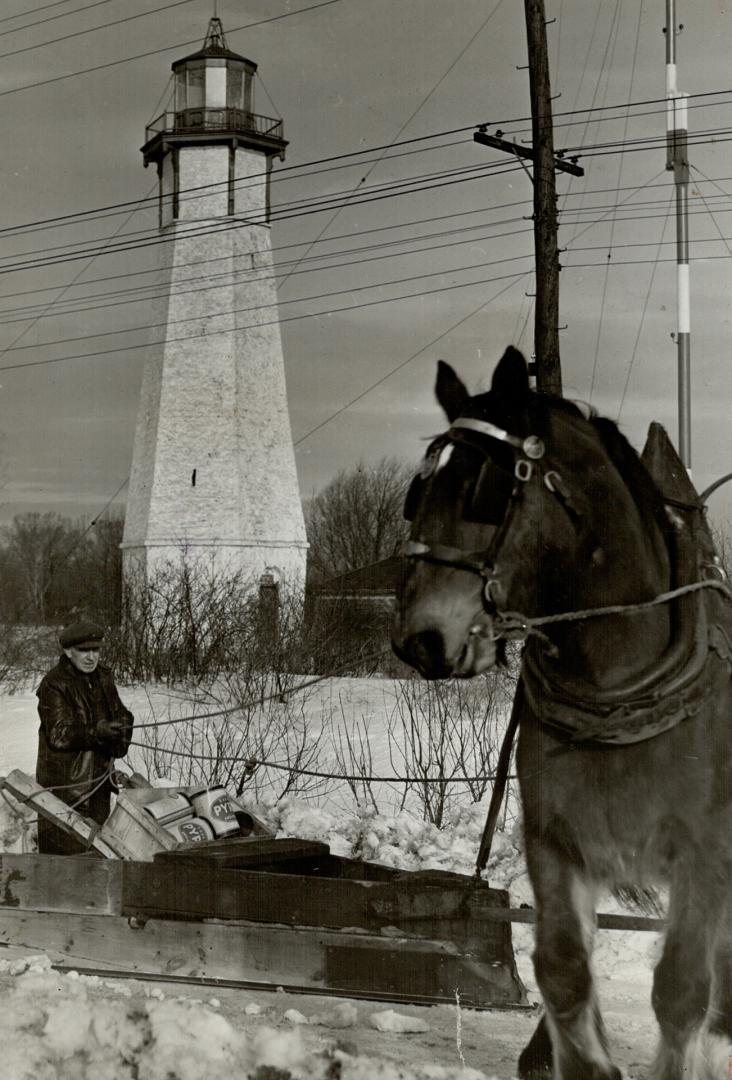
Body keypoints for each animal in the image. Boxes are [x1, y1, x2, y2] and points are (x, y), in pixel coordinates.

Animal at [392, 343, 732, 1080]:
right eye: (418, 493)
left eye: (486, 489)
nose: (419, 640)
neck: (621, 686)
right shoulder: (555, 842)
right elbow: (562, 970)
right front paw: (580, 1061)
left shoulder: (705, 853)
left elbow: (682, 990)